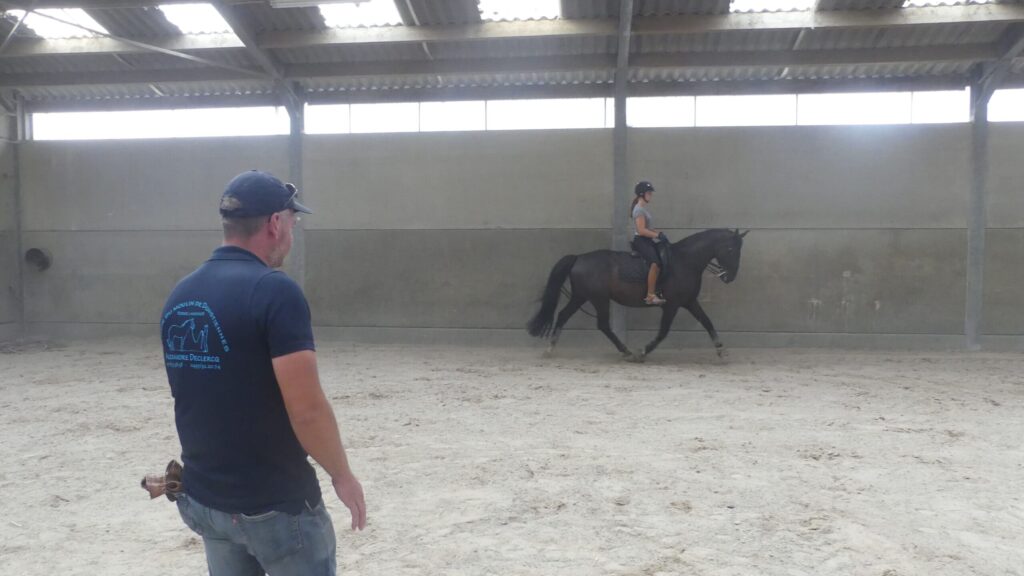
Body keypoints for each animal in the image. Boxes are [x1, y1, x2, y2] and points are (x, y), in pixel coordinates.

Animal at [528, 227, 745, 358]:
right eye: (731, 249)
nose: (731, 277)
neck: (685, 261)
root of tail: (579, 258)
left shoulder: (690, 301)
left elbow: (707, 322)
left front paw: (721, 350)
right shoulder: (672, 305)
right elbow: (663, 331)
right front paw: (643, 351)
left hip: (581, 296)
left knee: (563, 315)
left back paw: (550, 348)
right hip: (599, 298)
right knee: (602, 324)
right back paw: (626, 351)